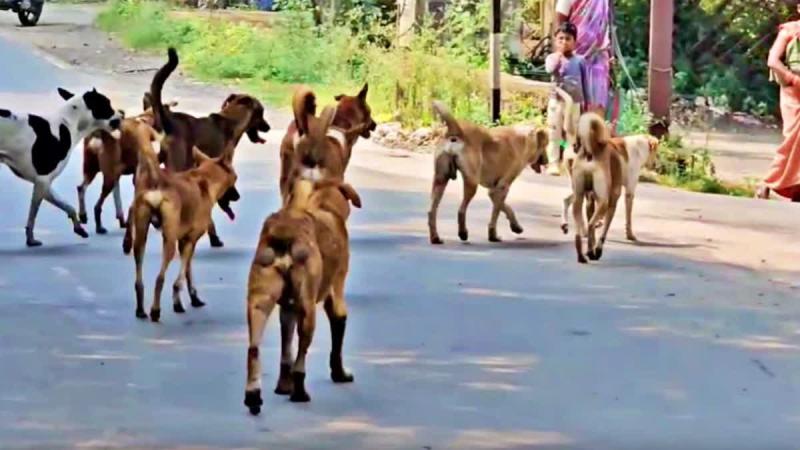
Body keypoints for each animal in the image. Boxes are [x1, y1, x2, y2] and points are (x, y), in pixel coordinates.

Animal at [0, 87, 122, 247]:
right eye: (107, 103)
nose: (121, 116)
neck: (68, 122)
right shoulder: (42, 183)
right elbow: (33, 215)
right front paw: (31, 239)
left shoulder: (43, 186)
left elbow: (68, 206)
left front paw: (78, 226)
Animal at [77, 98, 179, 235]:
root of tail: (99, 134)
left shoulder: (123, 175)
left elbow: (118, 200)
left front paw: (124, 221)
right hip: (108, 178)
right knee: (97, 205)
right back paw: (99, 226)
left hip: (93, 170)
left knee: (81, 188)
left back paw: (83, 216)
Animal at [129, 146, 239, 322]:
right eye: (235, 178)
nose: (237, 196)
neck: (205, 180)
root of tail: (156, 183)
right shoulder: (189, 241)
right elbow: (180, 279)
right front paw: (179, 303)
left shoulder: (185, 241)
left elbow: (187, 273)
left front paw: (193, 298)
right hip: (169, 242)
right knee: (160, 278)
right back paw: (155, 310)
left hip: (140, 238)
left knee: (139, 280)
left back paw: (140, 310)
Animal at [244, 177, 361, 415]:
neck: (325, 207)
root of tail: (284, 234)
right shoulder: (335, 296)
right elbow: (337, 335)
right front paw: (339, 373)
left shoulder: (287, 309)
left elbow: (285, 350)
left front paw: (282, 386)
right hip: (307, 310)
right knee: (301, 357)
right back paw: (299, 393)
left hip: (259, 303)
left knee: (253, 349)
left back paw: (253, 396)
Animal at [427, 101, 548, 244]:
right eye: (545, 145)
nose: (547, 161)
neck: (524, 139)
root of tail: (456, 130)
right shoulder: (501, 188)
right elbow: (497, 213)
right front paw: (493, 235)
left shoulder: (494, 190)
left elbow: (505, 207)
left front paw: (515, 226)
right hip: (471, 183)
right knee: (461, 210)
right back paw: (463, 233)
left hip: (440, 180)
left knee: (431, 211)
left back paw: (435, 237)